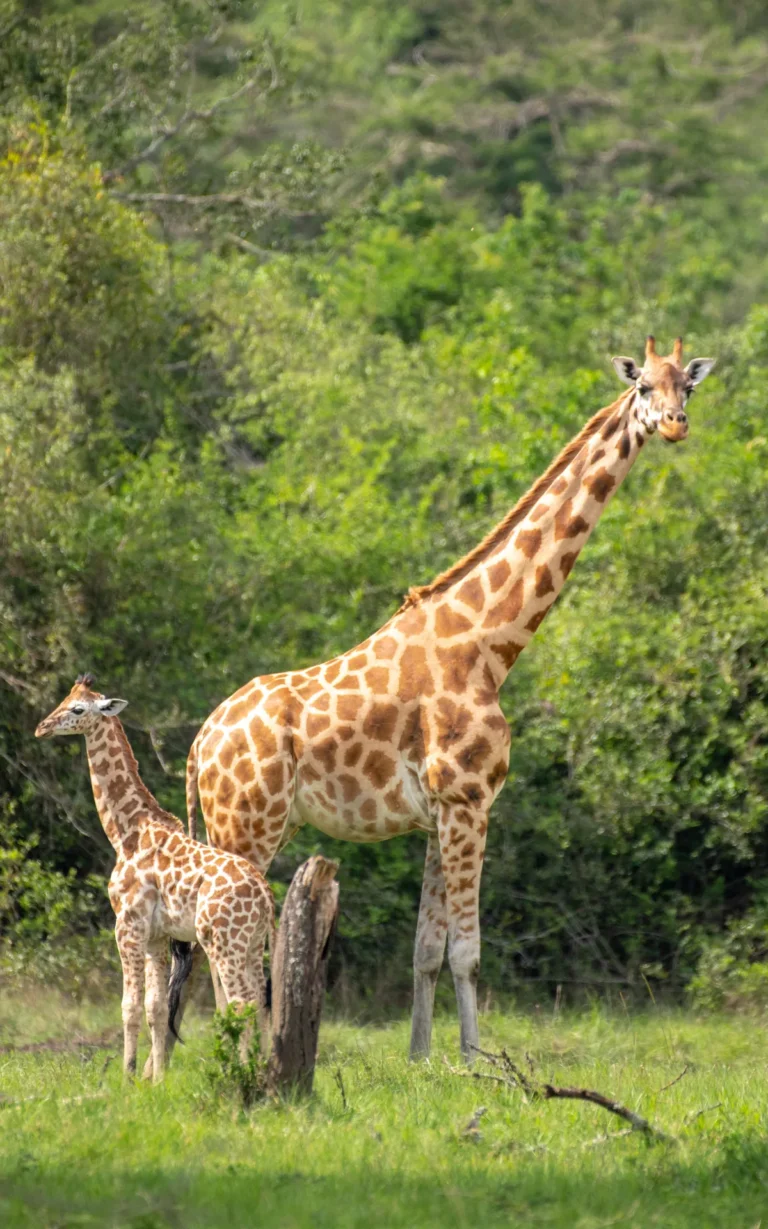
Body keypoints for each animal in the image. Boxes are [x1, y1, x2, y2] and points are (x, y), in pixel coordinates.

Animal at [35, 674, 274, 1081]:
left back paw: (245, 1076)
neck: (126, 833)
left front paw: (128, 1077)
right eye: (64, 699)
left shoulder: (127, 926)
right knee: (259, 1002)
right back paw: (262, 1073)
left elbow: (129, 1007)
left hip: (223, 942)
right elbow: (157, 1009)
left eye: (77, 709)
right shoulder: (157, 936)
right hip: (251, 944)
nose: (42, 727)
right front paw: (157, 1080)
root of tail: (266, 897)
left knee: (242, 1003)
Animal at [184, 337, 715, 1061]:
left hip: (251, 825)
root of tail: (199, 744)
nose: (674, 425)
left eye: (686, 386)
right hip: (246, 826)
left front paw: (421, 1057)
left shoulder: (438, 814)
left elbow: (426, 950)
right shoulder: (470, 802)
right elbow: (467, 950)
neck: (489, 644)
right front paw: (474, 1059)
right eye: (642, 388)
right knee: (223, 941)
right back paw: (243, 1054)